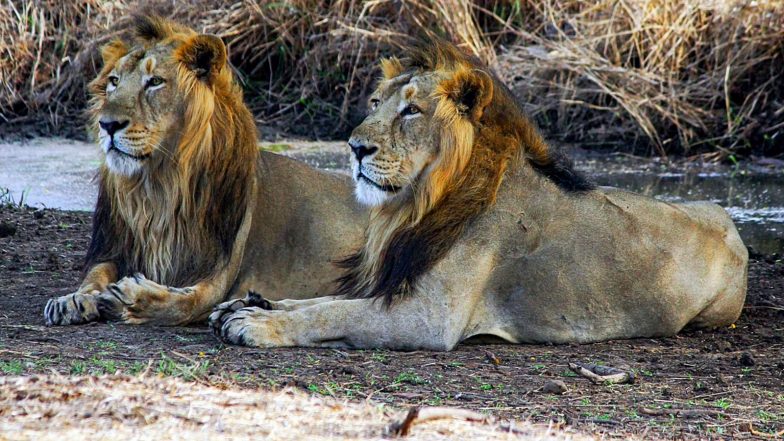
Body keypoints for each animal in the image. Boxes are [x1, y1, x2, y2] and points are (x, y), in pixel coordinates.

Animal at [43, 16, 365, 326]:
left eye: (155, 81)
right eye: (114, 81)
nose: (107, 124)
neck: (159, 185)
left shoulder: (219, 273)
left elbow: (186, 302)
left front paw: (132, 297)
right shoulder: (116, 247)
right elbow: (95, 273)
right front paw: (73, 299)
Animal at [208, 40, 748, 350]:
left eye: (412, 111)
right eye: (376, 102)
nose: (355, 147)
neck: (415, 205)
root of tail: (729, 220)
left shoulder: (430, 319)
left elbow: (334, 311)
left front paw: (257, 325)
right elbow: (320, 299)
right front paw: (251, 305)